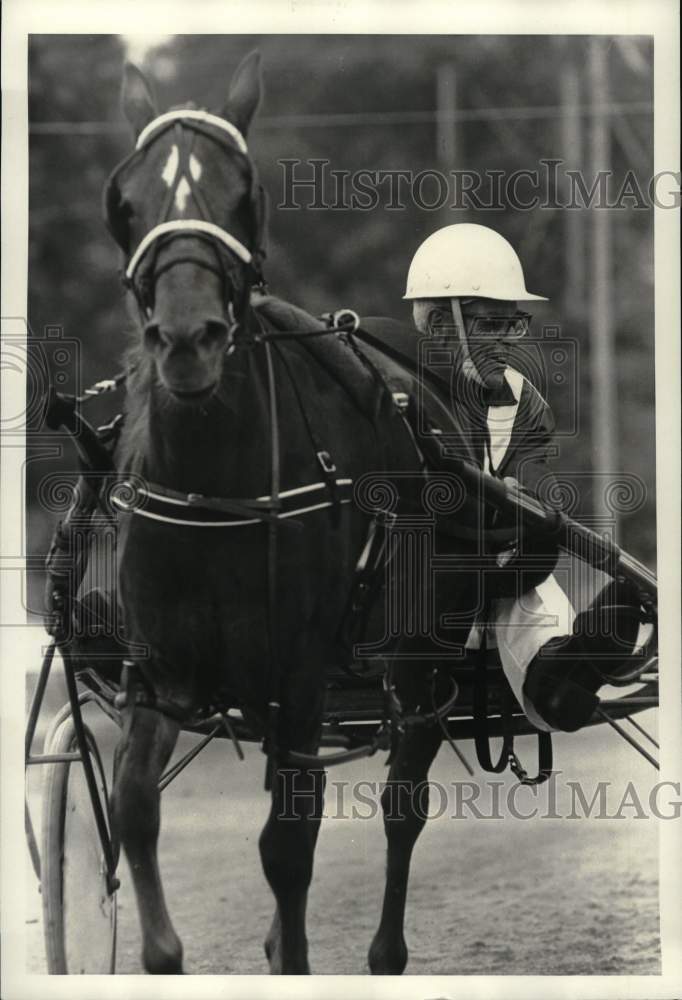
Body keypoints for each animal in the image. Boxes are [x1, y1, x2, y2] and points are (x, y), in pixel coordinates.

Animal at [103, 50, 478, 972]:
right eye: (125, 200)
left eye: (245, 192)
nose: (188, 338)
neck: (216, 490)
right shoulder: (158, 673)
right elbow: (134, 812)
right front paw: (166, 949)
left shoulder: (298, 674)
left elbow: (288, 845)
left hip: (420, 649)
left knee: (402, 798)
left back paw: (384, 952)